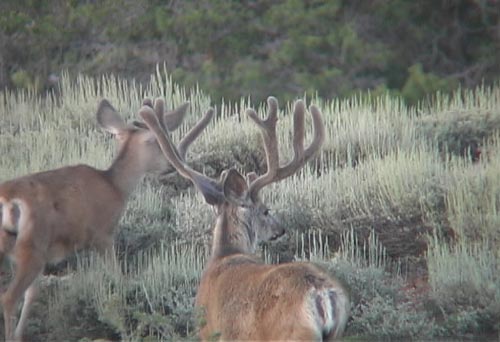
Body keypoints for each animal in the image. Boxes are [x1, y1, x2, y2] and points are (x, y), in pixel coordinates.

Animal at [0, 97, 213, 340]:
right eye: (155, 141)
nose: (171, 165)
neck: (116, 187)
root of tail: (7, 201)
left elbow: (33, 294)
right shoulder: (103, 234)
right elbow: (117, 276)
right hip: (32, 248)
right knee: (8, 298)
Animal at [140, 97, 352, 342]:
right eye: (266, 210)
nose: (281, 229)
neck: (225, 254)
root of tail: (321, 293)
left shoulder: (210, 333)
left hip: (293, 334)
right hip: (332, 333)